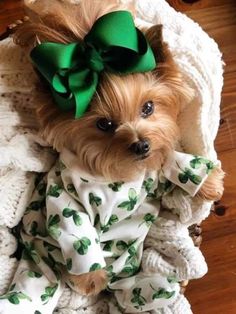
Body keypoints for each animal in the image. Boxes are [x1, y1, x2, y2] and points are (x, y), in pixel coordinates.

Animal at [13, 0, 225, 298]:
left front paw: (209, 182)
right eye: (104, 124)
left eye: (148, 107)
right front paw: (91, 279)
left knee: (148, 289)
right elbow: (77, 229)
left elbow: (171, 161)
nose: (141, 145)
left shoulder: (153, 176)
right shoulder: (63, 197)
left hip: (139, 280)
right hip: (38, 264)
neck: (117, 173)